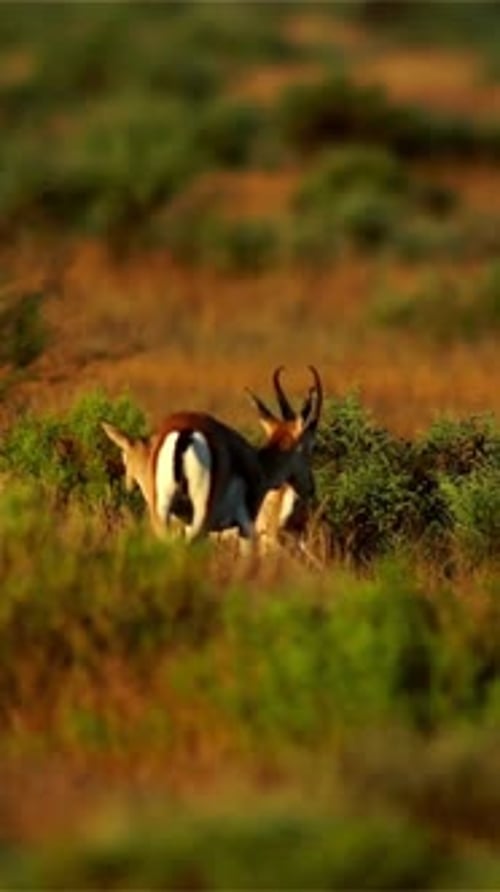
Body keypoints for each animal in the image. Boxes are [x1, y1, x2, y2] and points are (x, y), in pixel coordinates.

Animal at [101, 366, 323, 548]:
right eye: (312, 446)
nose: (311, 488)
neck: (260, 466)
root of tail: (184, 434)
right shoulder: (246, 526)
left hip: (164, 515)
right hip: (201, 518)